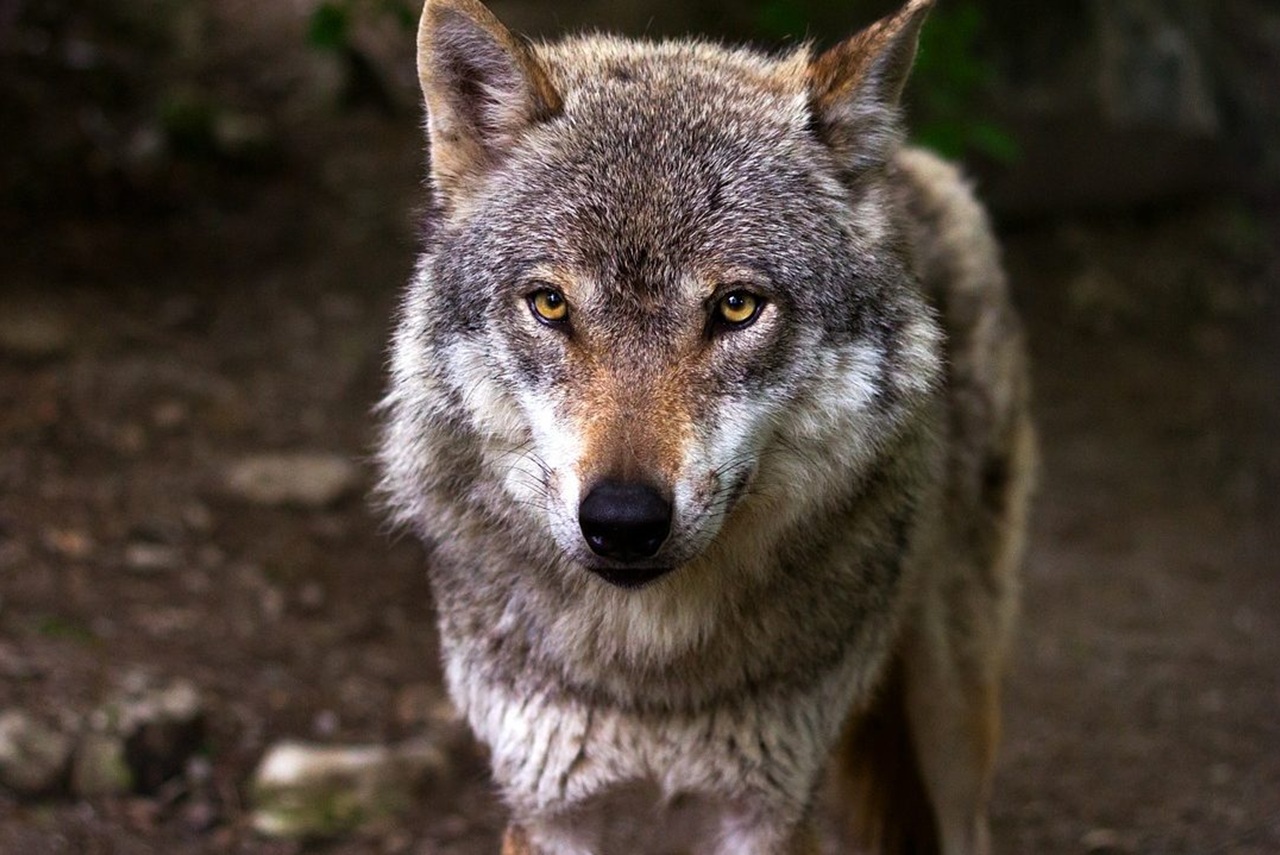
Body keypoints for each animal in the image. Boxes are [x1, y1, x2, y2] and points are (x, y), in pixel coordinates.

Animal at [378, 0, 1034, 852]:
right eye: (550, 304)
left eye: (736, 307)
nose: (623, 520)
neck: (652, 673)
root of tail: (912, 164)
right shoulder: (550, 808)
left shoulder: (769, 809)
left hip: (951, 715)